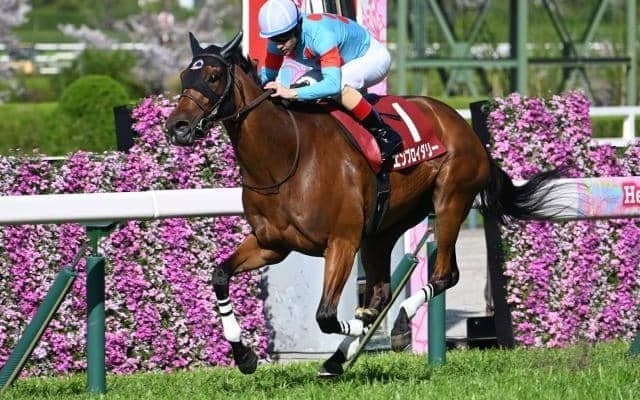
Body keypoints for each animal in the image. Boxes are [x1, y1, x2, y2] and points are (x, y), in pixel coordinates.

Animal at [165, 31, 561, 375]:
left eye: (213, 76)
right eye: (185, 75)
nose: (178, 127)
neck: (285, 157)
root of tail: (463, 127)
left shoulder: (341, 242)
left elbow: (326, 316)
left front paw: (361, 332)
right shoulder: (271, 244)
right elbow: (219, 275)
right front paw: (244, 356)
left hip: (450, 201)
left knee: (443, 274)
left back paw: (396, 327)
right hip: (384, 229)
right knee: (382, 290)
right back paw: (341, 357)